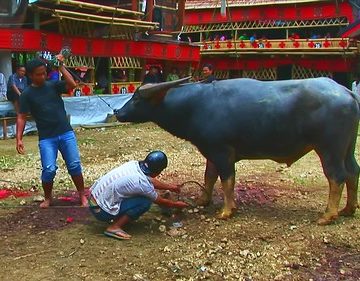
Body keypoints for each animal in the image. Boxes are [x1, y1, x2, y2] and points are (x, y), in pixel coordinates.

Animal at [116, 76, 360, 223]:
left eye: (136, 99)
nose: (118, 112)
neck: (196, 105)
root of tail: (346, 92)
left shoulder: (223, 152)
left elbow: (227, 180)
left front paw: (226, 210)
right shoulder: (210, 150)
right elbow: (209, 177)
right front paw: (203, 200)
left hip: (329, 149)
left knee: (336, 177)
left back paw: (328, 215)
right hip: (347, 149)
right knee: (353, 172)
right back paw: (348, 209)